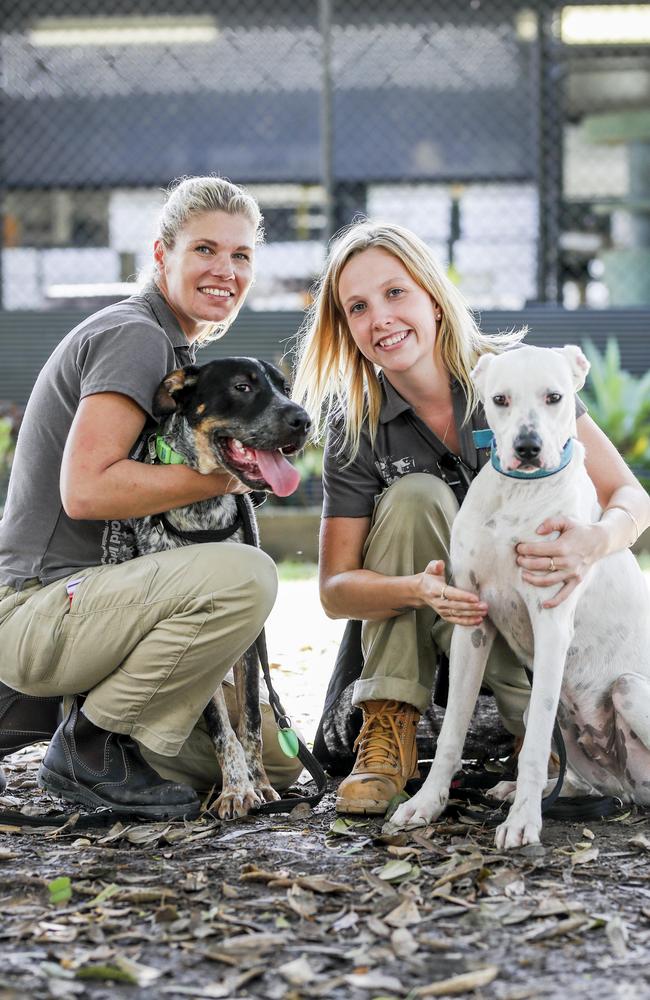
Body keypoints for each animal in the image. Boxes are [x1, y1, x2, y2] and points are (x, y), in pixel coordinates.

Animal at [130, 360, 312, 820]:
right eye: (242, 387)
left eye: (285, 389)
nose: (303, 420)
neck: (203, 516)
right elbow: (220, 727)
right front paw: (234, 791)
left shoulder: (249, 643)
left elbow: (250, 723)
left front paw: (258, 785)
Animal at [390, 346, 648, 852]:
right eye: (500, 399)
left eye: (555, 397)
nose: (527, 447)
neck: (520, 489)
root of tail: (628, 787)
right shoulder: (472, 623)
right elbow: (452, 731)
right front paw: (427, 804)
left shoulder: (551, 623)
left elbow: (532, 749)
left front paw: (524, 821)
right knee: (583, 780)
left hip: (630, 687)